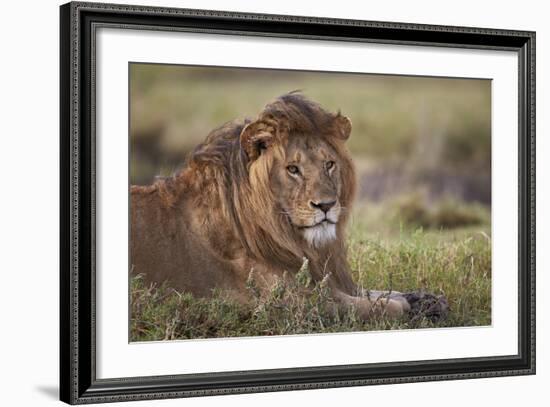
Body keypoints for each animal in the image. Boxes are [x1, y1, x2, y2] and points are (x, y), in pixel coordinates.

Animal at [130, 92, 448, 322]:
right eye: (293, 169)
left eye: (329, 164)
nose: (326, 205)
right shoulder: (286, 301)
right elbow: (375, 306)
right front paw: (408, 307)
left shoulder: (326, 279)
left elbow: (380, 292)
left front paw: (428, 299)